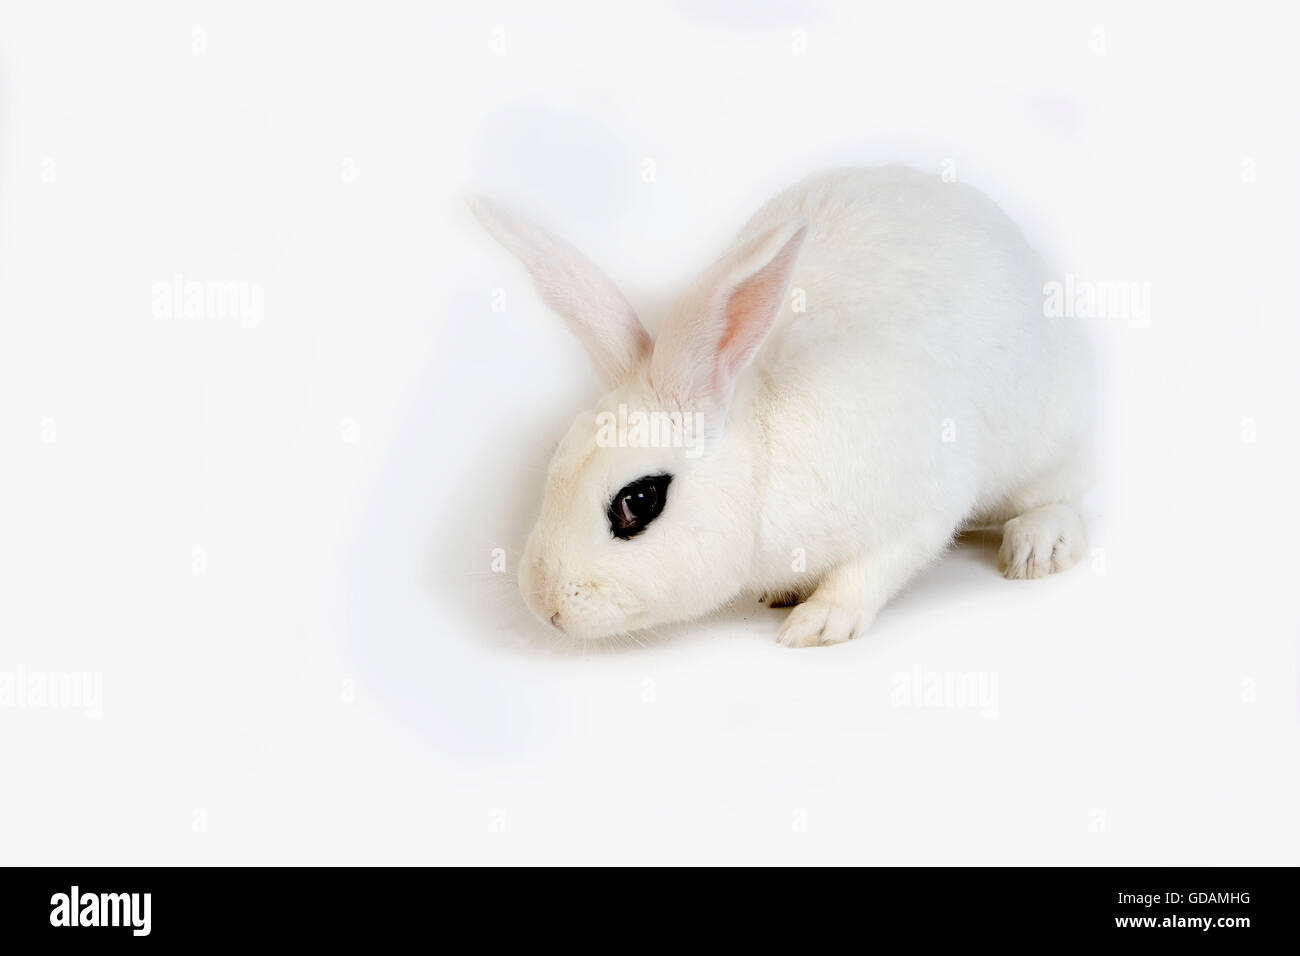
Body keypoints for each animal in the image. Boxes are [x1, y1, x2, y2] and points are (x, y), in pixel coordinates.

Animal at [473, 164, 1092, 647]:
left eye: (639, 500)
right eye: (556, 459)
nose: (544, 604)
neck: (761, 459)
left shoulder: (924, 504)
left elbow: (871, 568)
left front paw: (818, 623)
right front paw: (788, 595)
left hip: (1047, 441)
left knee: (1059, 497)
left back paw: (1038, 550)